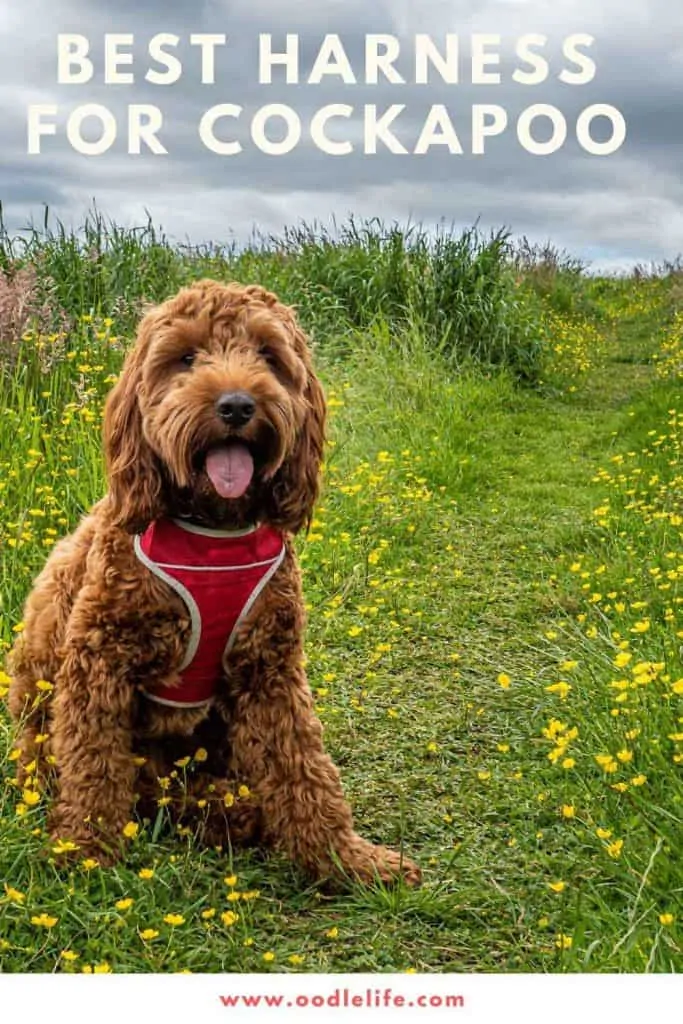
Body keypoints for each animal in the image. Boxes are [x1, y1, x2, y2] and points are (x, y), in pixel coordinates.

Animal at [7, 278, 419, 888]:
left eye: (268, 356)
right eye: (186, 358)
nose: (237, 405)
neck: (213, 529)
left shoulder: (270, 668)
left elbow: (305, 768)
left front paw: (346, 858)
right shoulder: (97, 661)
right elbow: (93, 765)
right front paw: (84, 852)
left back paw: (231, 810)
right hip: (39, 687)